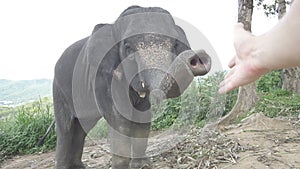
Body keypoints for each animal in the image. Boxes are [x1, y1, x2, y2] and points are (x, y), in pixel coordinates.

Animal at [52, 5, 211, 169]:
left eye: (174, 44)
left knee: (82, 128)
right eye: (128, 47)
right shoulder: (102, 77)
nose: (198, 57)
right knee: (66, 128)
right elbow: (118, 119)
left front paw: (142, 165)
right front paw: (122, 167)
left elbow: (143, 116)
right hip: (59, 91)